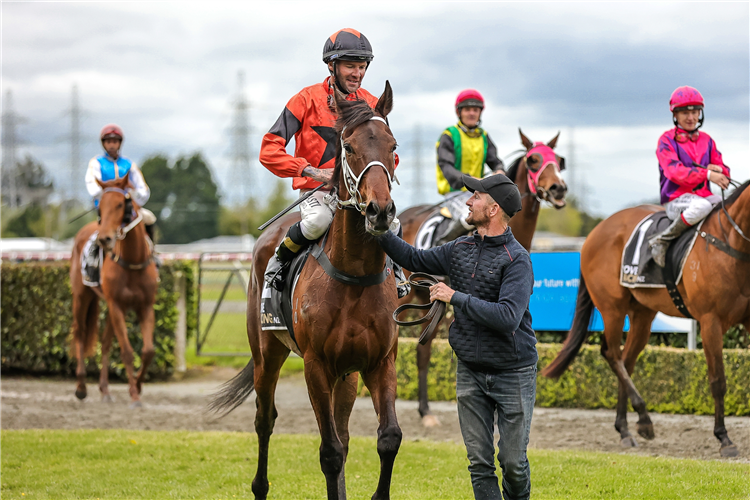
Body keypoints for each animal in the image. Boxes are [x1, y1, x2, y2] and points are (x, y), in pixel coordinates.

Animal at [68, 174, 158, 408]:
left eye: (120, 204)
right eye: (101, 207)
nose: (105, 239)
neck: (133, 261)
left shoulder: (144, 306)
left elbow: (148, 351)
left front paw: (138, 386)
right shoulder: (117, 305)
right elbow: (127, 352)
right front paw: (134, 395)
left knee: (106, 341)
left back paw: (105, 390)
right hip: (81, 297)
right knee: (80, 332)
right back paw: (81, 386)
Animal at [209, 83, 402, 500]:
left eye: (393, 145)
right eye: (349, 147)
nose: (380, 211)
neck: (354, 274)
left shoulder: (379, 362)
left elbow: (387, 439)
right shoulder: (316, 364)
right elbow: (329, 452)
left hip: (347, 374)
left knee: (343, 433)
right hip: (267, 354)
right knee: (264, 419)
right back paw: (260, 487)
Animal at [544, 180, 748, 458]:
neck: (731, 244)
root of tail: (596, 232)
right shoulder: (710, 322)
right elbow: (718, 381)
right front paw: (724, 438)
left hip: (642, 314)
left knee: (626, 361)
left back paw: (625, 429)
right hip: (612, 308)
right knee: (612, 354)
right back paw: (643, 419)